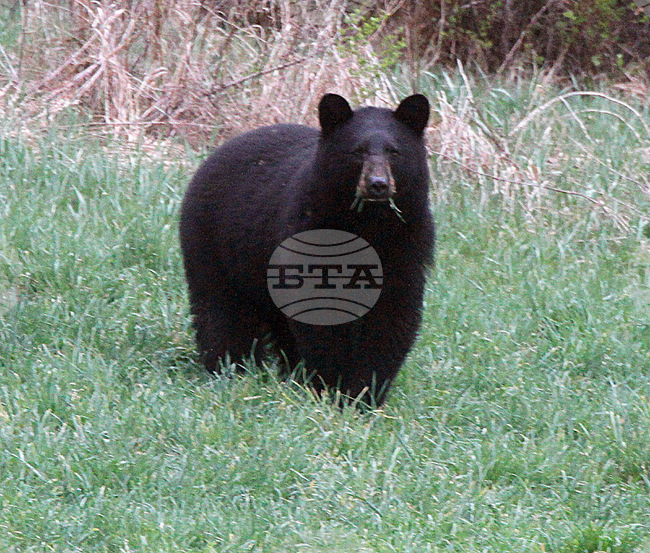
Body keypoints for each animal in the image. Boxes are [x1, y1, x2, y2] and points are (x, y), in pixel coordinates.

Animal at [179, 93, 434, 406]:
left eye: (394, 152)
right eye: (357, 151)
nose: (377, 184)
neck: (369, 225)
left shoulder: (406, 247)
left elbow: (391, 319)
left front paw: (364, 395)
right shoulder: (310, 236)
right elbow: (320, 315)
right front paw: (330, 387)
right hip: (213, 244)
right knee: (221, 310)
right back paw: (230, 367)